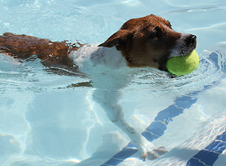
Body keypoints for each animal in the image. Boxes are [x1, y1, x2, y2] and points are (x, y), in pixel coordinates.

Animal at [0, 14, 196, 161]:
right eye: (155, 34)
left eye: (170, 25)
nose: (193, 38)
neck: (118, 61)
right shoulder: (107, 99)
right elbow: (129, 127)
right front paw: (145, 146)